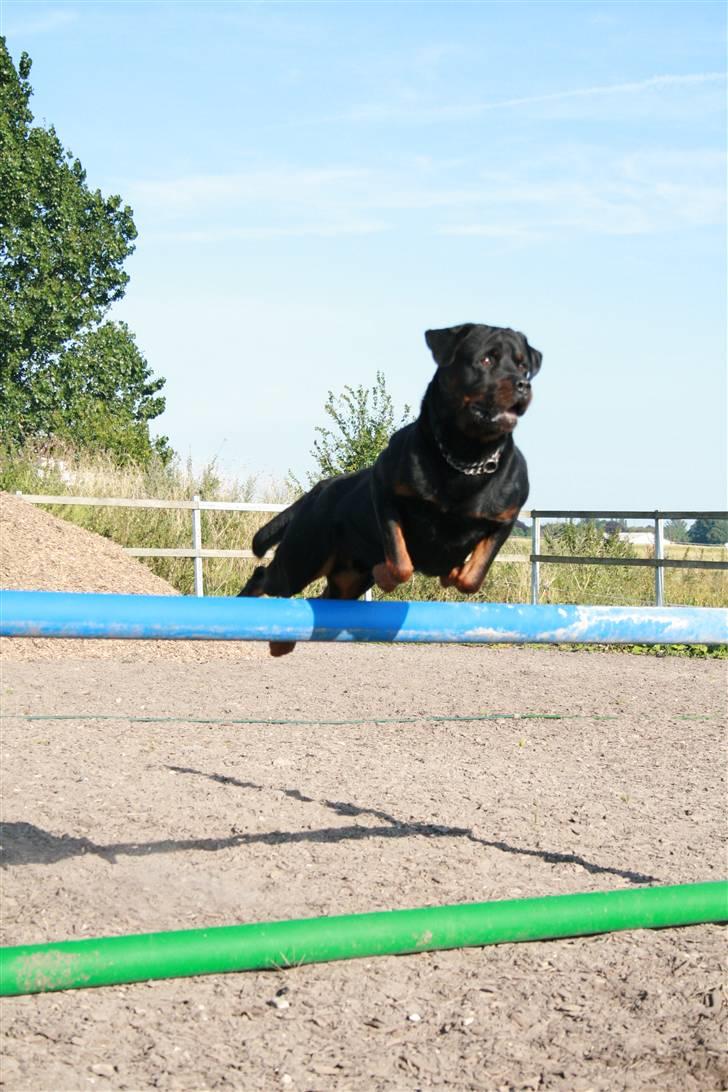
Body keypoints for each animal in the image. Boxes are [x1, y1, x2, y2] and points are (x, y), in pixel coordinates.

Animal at [239, 318, 541, 650]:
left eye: (523, 366)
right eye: (487, 359)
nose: (523, 385)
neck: (465, 458)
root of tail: (319, 489)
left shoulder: (505, 519)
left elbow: (471, 578)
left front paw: (451, 573)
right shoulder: (385, 492)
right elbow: (400, 560)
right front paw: (385, 573)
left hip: (346, 577)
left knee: (322, 599)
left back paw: (283, 641)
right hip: (304, 554)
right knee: (268, 578)